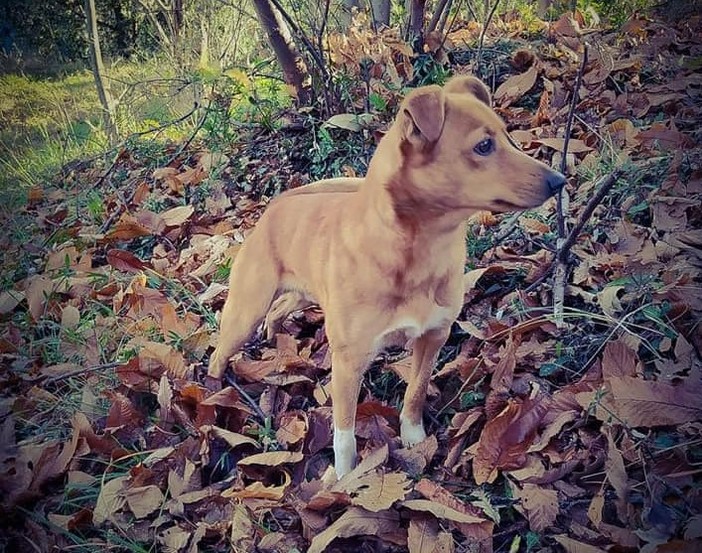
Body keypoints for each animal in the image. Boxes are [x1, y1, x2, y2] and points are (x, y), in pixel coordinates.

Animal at [208, 75, 568, 476]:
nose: (560, 180)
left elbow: (415, 391)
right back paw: (216, 388)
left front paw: (413, 437)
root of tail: (278, 202)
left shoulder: (433, 336)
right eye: (484, 146)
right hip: (245, 311)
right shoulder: (348, 362)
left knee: (281, 306)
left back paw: (273, 333)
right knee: (222, 348)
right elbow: (344, 434)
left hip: (301, 293)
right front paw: (345, 477)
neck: (416, 252)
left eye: (507, 135)